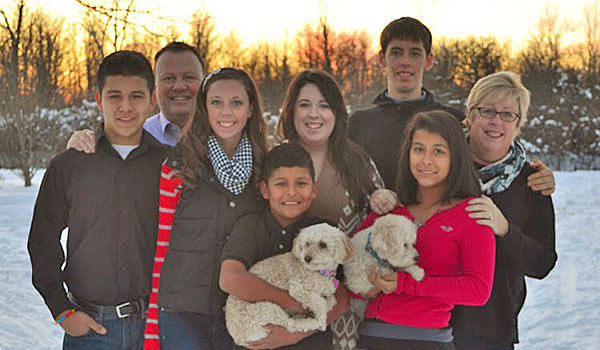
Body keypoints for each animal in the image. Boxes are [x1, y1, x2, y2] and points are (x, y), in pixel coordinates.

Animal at [226, 223, 356, 346]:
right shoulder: (298, 288)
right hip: (268, 309)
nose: (306, 258)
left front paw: (324, 307)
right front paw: (321, 319)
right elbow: (320, 303)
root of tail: (239, 339)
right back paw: (310, 322)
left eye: (323, 244)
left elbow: (331, 299)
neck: (320, 272)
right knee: (291, 325)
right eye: (307, 243)